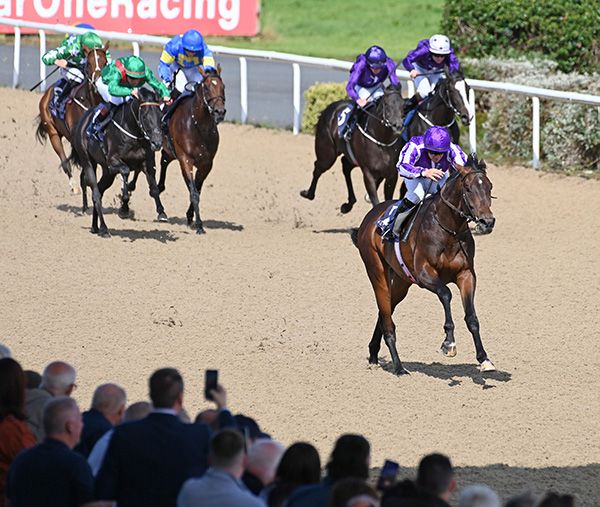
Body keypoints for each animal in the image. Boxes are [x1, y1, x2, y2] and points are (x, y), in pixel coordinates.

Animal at [34, 44, 109, 194]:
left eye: (105, 62)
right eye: (89, 63)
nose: (97, 82)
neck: (89, 101)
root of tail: (47, 93)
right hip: (53, 133)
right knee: (65, 162)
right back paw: (74, 186)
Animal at [69, 87, 164, 236]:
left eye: (160, 116)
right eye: (144, 116)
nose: (157, 143)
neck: (133, 131)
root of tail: (81, 122)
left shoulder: (147, 163)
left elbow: (154, 189)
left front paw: (161, 212)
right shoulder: (113, 161)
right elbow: (125, 171)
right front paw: (124, 208)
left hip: (108, 174)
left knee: (100, 191)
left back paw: (95, 226)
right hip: (88, 162)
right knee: (96, 194)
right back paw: (104, 228)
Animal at [157, 64, 225, 235]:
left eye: (223, 87)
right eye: (206, 87)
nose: (220, 112)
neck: (198, 125)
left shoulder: (206, 164)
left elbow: (197, 190)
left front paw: (190, 217)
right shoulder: (185, 160)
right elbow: (193, 192)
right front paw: (199, 225)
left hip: (170, 151)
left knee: (164, 160)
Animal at [298, 85, 404, 214]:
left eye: (403, 105)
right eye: (386, 104)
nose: (397, 126)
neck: (382, 141)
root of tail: (330, 106)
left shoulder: (392, 175)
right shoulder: (368, 173)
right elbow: (375, 201)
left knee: (345, 165)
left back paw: (348, 204)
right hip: (327, 154)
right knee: (318, 167)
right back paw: (308, 193)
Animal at [352, 155, 496, 378]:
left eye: (489, 187)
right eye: (469, 188)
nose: (487, 222)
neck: (449, 231)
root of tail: (370, 217)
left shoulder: (466, 275)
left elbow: (472, 317)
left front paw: (484, 359)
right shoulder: (424, 274)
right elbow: (446, 294)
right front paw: (449, 343)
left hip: (401, 281)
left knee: (385, 311)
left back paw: (374, 354)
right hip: (377, 272)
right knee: (386, 317)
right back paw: (399, 367)